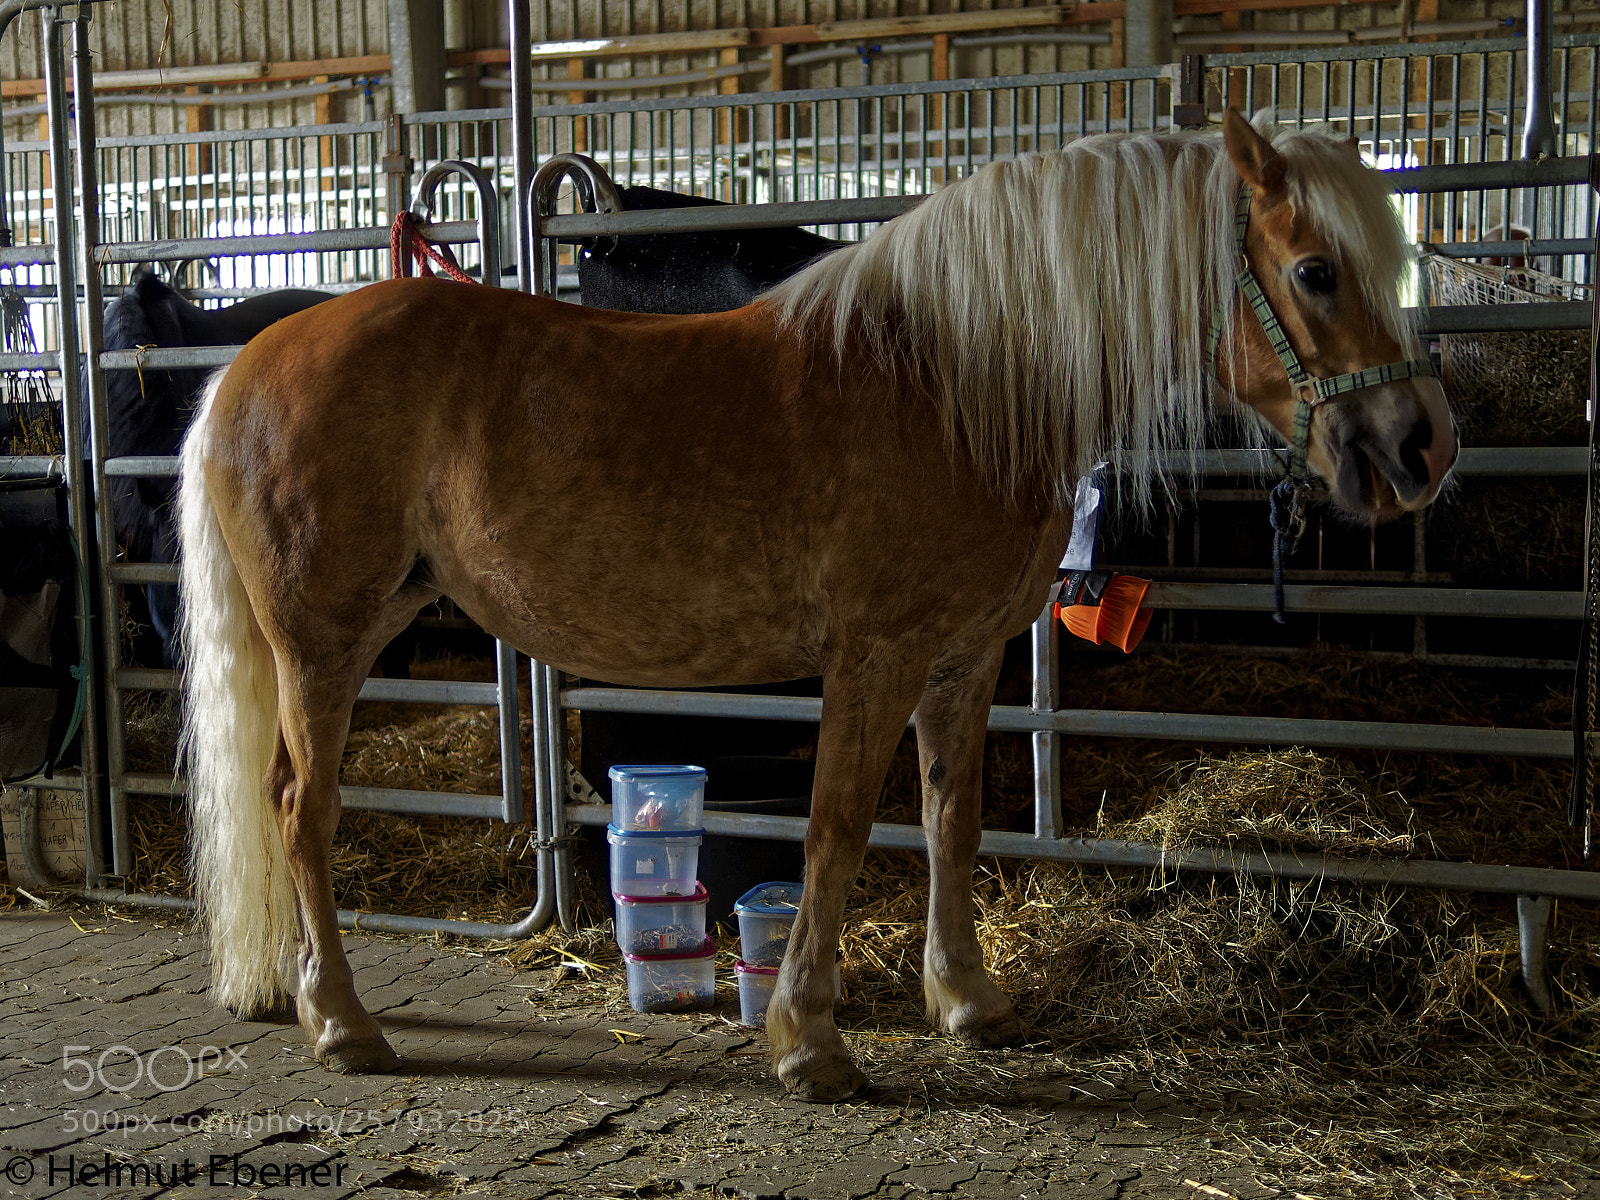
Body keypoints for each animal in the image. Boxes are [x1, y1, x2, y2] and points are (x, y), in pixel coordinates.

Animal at [176, 111, 1456, 1101]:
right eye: (1315, 270)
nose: (1421, 448)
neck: (956, 383)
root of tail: (248, 367)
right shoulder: (873, 660)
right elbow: (837, 829)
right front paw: (811, 1043)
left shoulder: (964, 661)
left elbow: (950, 822)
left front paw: (967, 1000)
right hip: (321, 644)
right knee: (299, 808)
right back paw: (343, 1023)